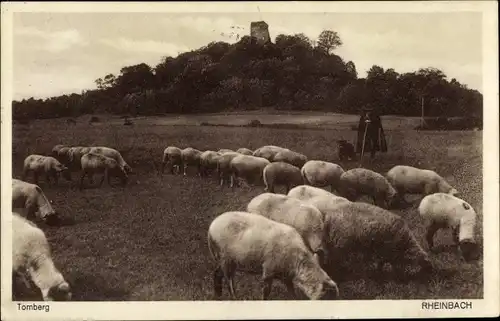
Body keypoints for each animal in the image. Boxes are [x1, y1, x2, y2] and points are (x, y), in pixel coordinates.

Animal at [207, 211, 340, 298]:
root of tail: (211, 227)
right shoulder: (268, 272)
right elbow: (266, 294)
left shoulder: (286, 276)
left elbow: (292, 293)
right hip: (226, 258)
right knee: (228, 281)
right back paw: (234, 298)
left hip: (223, 259)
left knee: (216, 273)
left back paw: (218, 295)